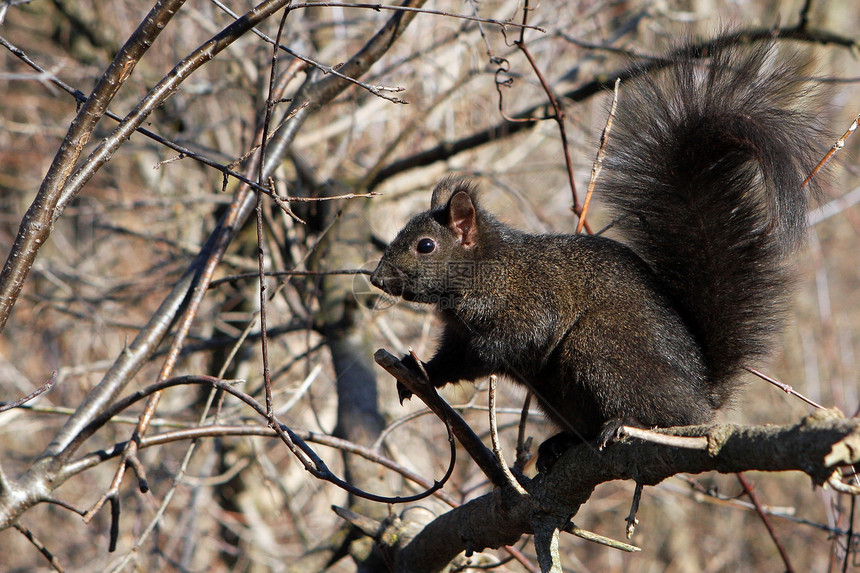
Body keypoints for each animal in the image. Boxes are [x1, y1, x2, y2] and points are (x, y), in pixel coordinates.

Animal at [372, 41, 828, 460]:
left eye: (426, 246)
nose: (376, 278)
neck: (488, 268)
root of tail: (702, 397)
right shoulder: (456, 334)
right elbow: (451, 361)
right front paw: (417, 371)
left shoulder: (530, 301)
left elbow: (514, 340)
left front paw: (479, 355)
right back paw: (560, 444)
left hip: (599, 351)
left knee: (656, 413)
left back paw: (622, 423)